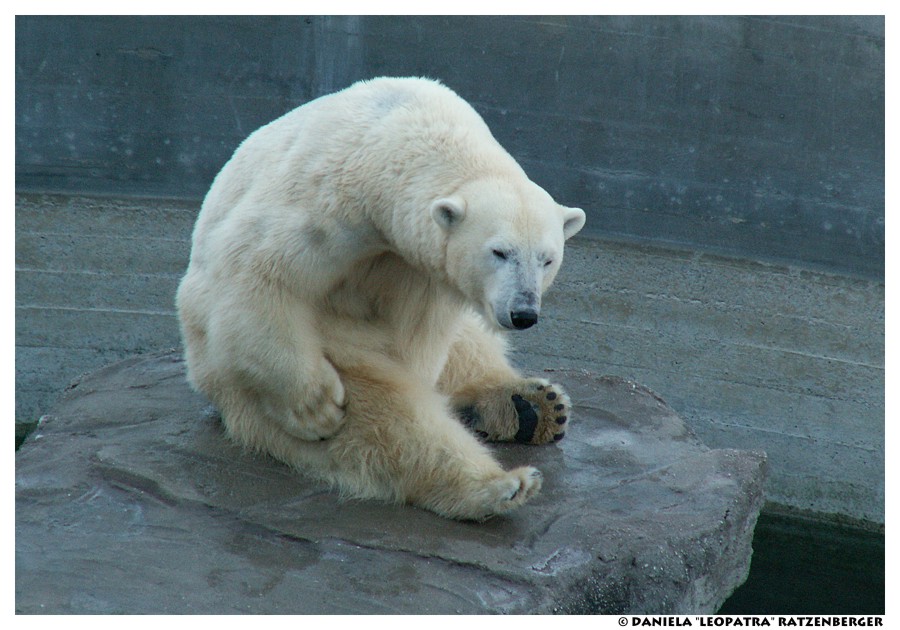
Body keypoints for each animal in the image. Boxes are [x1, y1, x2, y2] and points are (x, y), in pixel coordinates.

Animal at [176, 78, 588, 524]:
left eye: (547, 259)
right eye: (499, 252)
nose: (523, 312)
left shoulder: (420, 270)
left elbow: (421, 341)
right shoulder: (323, 201)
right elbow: (256, 274)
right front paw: (316, 409)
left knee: (466, 350)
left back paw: (533, 406)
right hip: (250, 369)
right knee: (386, 418)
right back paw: (499, 485)